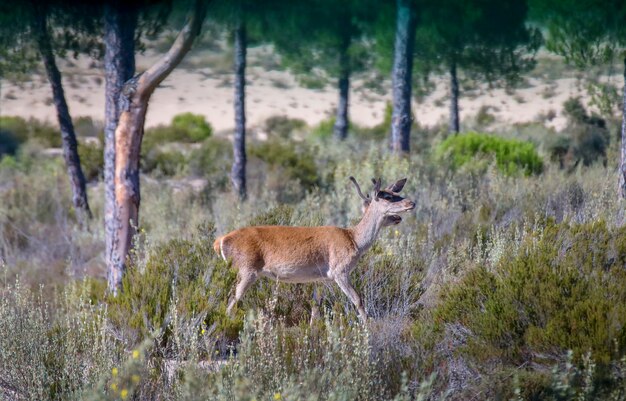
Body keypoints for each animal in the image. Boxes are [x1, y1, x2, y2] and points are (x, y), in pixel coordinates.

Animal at [214, 177, 414, 320]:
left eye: (394, 192)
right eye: (388, 197)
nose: (411, 203)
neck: (354, 240)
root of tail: (220, 241)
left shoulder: (322, 279)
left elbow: (315, 309)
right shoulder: (339, 271)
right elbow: (358, 300)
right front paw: (368, 328)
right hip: (246, 270)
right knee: (231, 301)